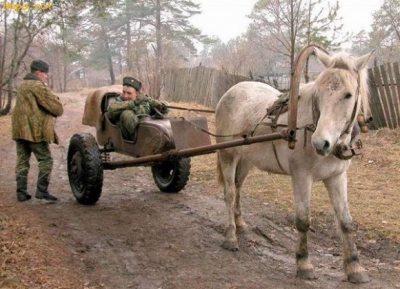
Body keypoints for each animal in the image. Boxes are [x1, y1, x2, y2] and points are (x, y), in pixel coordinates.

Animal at [216, 46, 376, 282]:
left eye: (348, 94)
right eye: (319, 93)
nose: (320, 142)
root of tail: (231, 91)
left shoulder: (337, 177)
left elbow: (345, 221)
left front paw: (355, 267)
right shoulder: (301, 177)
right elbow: (303, 220)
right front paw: (304, 263)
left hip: (245, 160)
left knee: (238, 187)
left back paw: (240, 223)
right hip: (228, 154)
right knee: (229, 193)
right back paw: (230, 236)